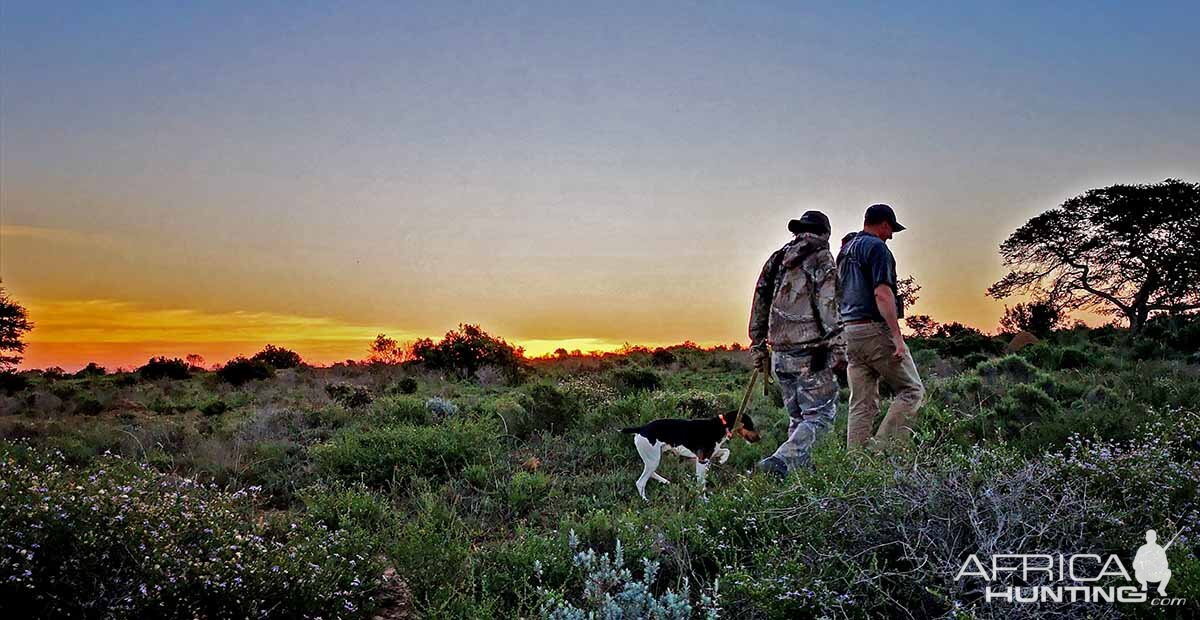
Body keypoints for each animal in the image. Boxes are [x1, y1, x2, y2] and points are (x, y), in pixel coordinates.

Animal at [619, 410, 758, 498]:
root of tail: (641, 428)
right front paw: (703, 500)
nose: (759, 438)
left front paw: (723, 459)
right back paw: (646, 500)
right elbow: (701, 484)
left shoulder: (710, 455)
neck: (720, 426)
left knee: (650, 473)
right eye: (750, 425)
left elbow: (726, 451)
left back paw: (665, 481)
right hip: (653, 459)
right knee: (641, 482)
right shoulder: (701, 460)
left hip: (654, 458)